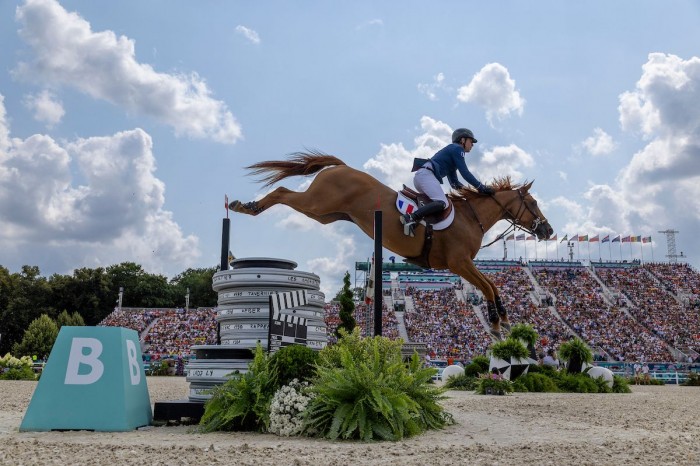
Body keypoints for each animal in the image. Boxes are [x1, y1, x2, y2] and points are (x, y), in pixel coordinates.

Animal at [230, 153, 552, 338]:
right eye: (534, 203)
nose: (548, 230)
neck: (470, 217)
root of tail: (342, 167)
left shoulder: (463, 265)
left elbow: (493, 286)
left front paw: (504, 319)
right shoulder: (459, 263)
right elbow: (487, 286)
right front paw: (497, 324)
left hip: (323, 214)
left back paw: (245, 206)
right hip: (317, 203)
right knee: (283, 192)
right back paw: (245, 206)